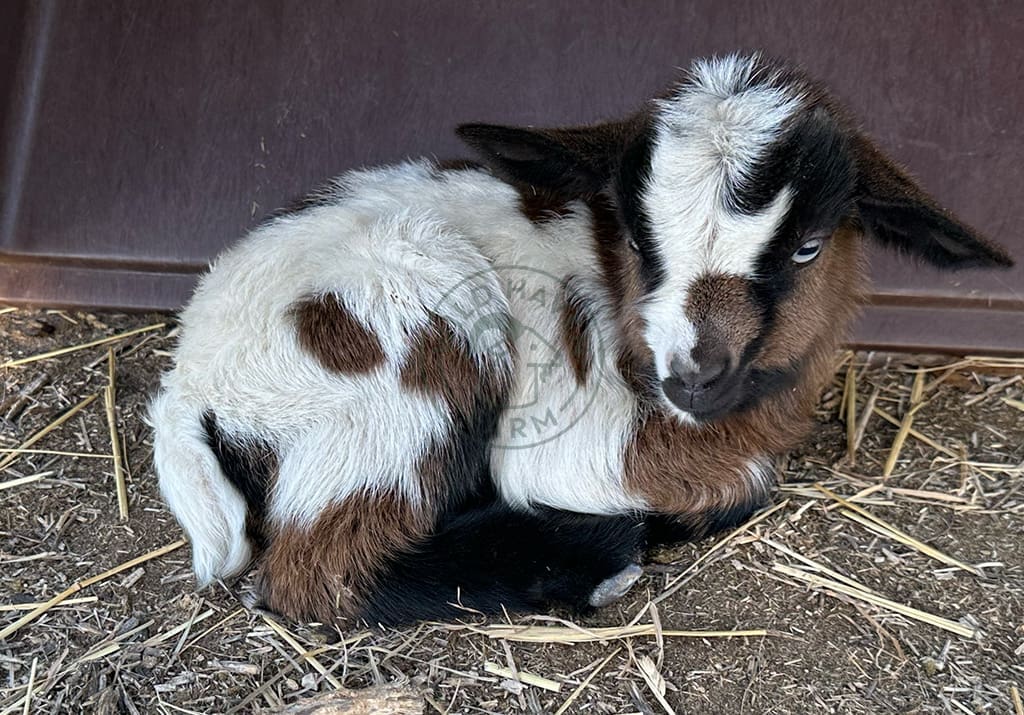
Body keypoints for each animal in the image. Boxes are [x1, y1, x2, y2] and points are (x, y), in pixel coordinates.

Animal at [151, 54, 1012, 626]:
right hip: (409, 354)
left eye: (808, 246)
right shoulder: (577, 442)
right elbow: (741, 482)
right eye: (634, 236)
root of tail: (191, 386)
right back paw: (594, 562)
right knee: (320, 568)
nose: (691, 374)